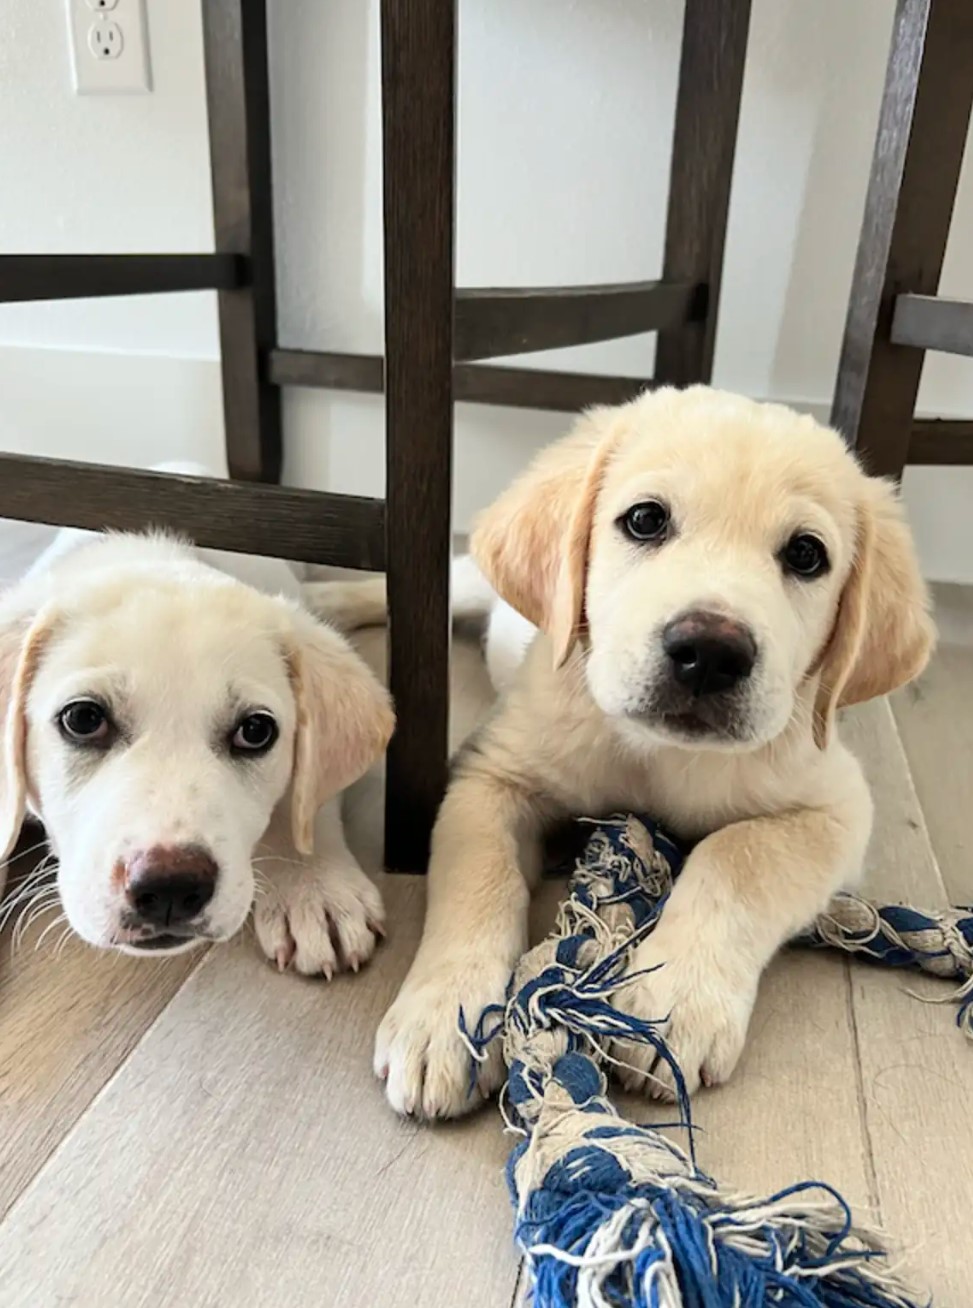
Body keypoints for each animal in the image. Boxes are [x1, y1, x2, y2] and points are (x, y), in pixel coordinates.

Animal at [366, 384, 936, 1114]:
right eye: (644, 520)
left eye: (806, 555)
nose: (710, 653)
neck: (655, 754)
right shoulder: (489, 775)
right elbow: (479, 877)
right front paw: (447, 1014)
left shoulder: (833, 808)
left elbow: (736, 857)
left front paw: (674, 1002)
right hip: (467, 587)